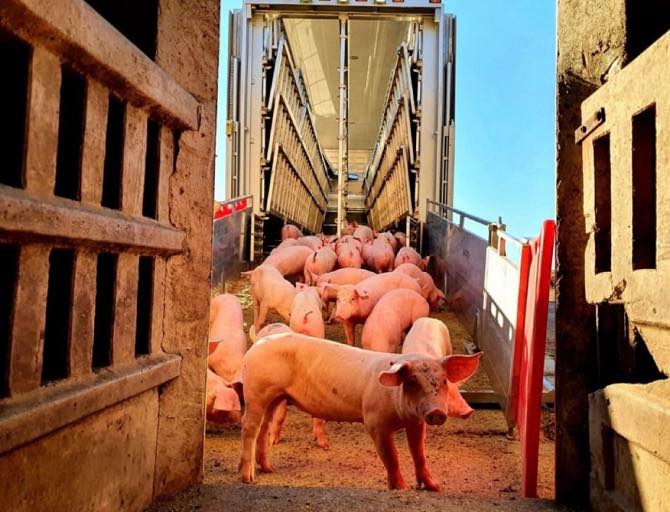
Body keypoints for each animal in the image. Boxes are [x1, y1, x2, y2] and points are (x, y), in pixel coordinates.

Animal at [239, 333, 483, 490]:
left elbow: (419, 454)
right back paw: (248, 478)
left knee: (264, 428)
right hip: (255, 392)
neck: (400, 414)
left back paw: (269, 469)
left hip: (274, 397)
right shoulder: (374, 422)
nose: (436, 412)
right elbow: (391, 456)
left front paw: (435, 487)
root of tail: (258, 343)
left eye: (444, 381)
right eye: (412, 381)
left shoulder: (416, 422)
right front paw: (401, 488)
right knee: (249, 429)